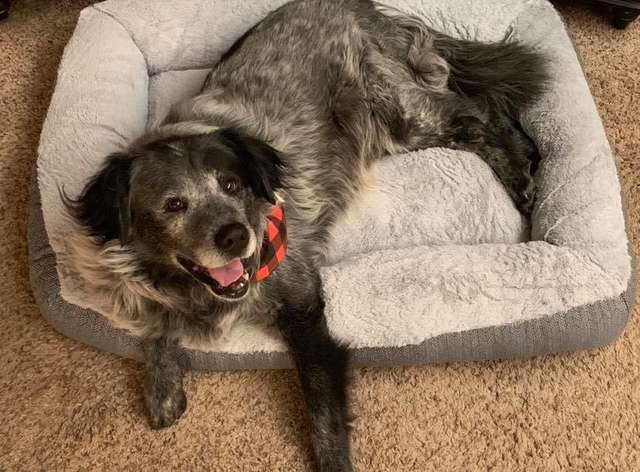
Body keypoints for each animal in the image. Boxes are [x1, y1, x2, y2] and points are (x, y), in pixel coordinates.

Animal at [63, 1, 544, 470]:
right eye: (173, 205)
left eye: (231, 184)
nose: (236, 237)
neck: (198, 295)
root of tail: (362, 8)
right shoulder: (140, 289)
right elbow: (154, 328)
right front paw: (161, 390)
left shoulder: (305, 311)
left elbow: (323, 415)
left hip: (404, 117)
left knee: (479, 114)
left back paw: (521, 173)